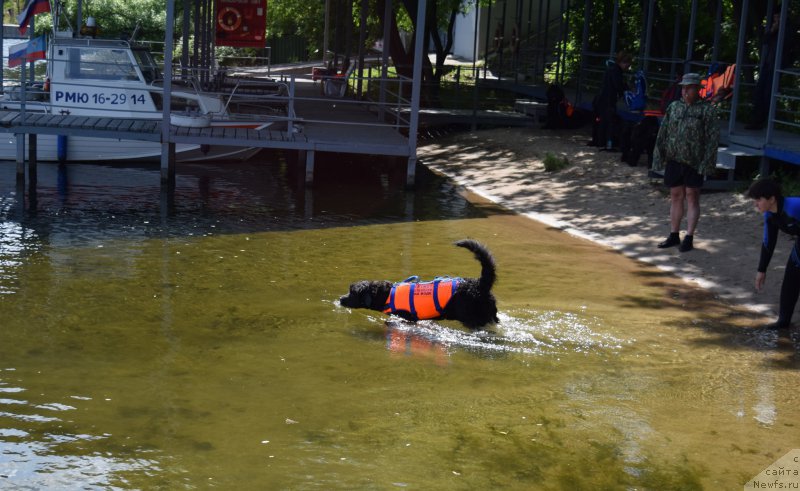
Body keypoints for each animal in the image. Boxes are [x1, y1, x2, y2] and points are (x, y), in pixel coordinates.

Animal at [340, 239, 500, 330]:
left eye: (352, 292)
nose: (341, 298)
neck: (387, 294)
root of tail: (480, 284)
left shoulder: (406, 318)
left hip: (473, 317)